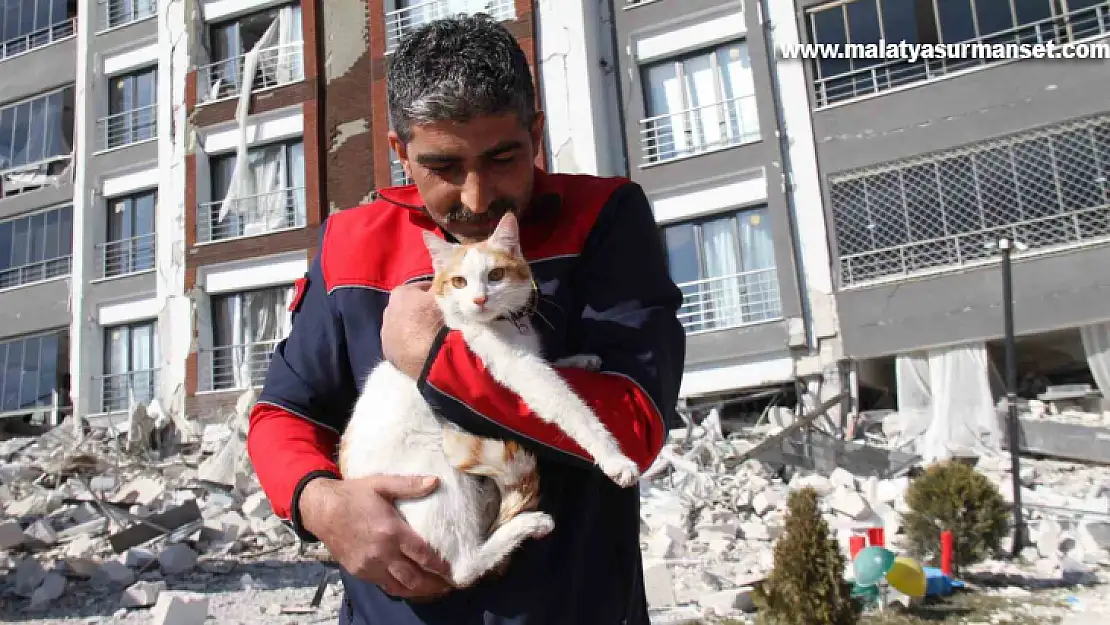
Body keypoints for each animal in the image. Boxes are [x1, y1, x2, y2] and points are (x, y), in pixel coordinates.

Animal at [333, 213, 639, 590]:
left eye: (495, 275)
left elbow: (555, 368)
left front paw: (581, 360)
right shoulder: (520, 369)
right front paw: (614, 458)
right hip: (441, 473)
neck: (502, 326)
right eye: (459, 282)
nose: (479, 299)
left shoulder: (530, 357)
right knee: (463, 568)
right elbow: (569, 405)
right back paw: (525, 525)